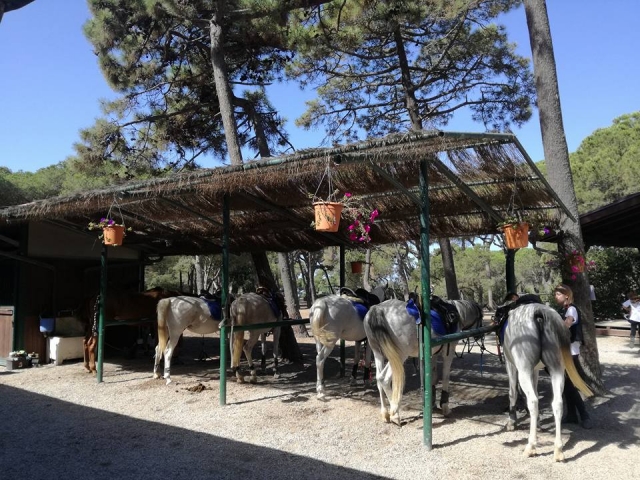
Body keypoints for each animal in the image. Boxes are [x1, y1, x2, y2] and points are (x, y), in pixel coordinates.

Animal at [502, 303, 593, 461]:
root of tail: (538, 312)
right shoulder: (535, 370)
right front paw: (537, 422)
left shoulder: (512, 365)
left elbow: (513, 393)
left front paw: (511, 421)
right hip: (557, 369)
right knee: (557, 403)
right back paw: (558, 450)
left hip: (524, 369)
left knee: (533, 401)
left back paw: (531, 447)